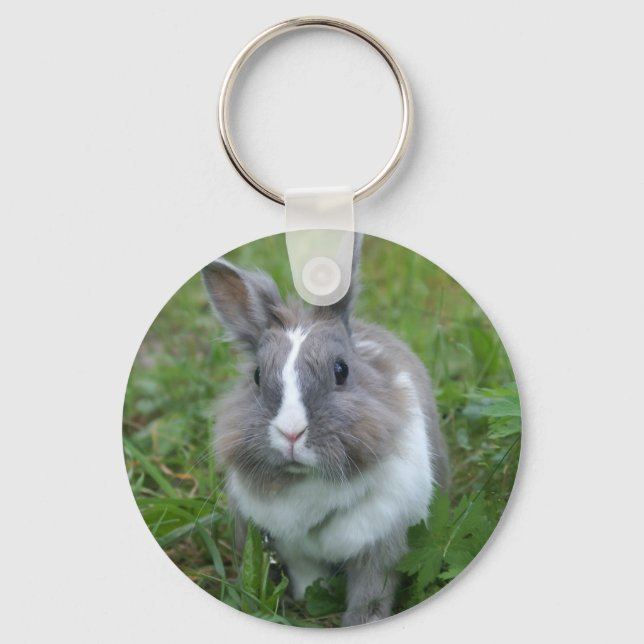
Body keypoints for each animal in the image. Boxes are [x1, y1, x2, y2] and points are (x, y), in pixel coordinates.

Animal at [201, 236, 449, 626]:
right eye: (256, 376)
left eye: (341, 370)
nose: (291, 433)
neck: (310, 483)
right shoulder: (293, 549)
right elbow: (308, 577)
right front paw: (309, 599)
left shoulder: (382, 545)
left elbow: (372, 592)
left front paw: (364, 622)